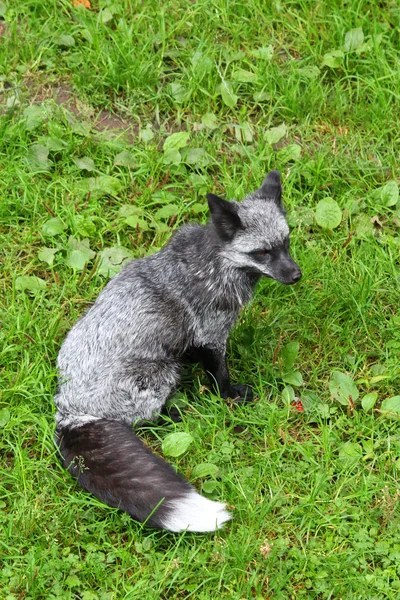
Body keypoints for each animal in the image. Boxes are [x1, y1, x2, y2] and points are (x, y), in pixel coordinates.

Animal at [54, 171, 302, 532]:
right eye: (263, 252)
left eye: (286, 243)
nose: (297, 275)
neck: (215, 265)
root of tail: (68, 409)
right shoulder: (212, 334)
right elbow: (220, 375)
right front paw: (230, 397)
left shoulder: (196, 341)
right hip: (162, 372)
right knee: (143, 420)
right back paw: (176, 413)